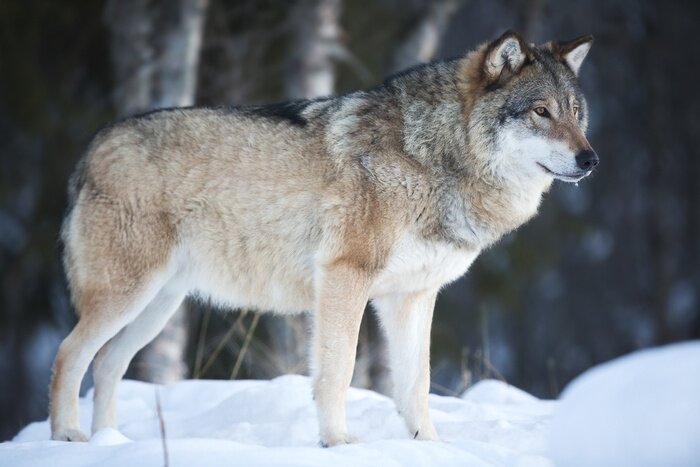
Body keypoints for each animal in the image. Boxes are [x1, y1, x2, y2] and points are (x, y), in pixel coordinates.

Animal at [50, 30, 597, 446]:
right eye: (541, 112)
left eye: (575, 111)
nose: (590, 159)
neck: (433, 155)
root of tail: (91, 149)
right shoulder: (345, 277)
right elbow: (338, 370)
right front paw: (337, 443)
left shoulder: (413, 297)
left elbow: (415, 385)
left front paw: (430, 448)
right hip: (128, 296)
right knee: (68, 355)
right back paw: (69, 439)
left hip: (157, 307)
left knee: (106, 363)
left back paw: (111, 444)